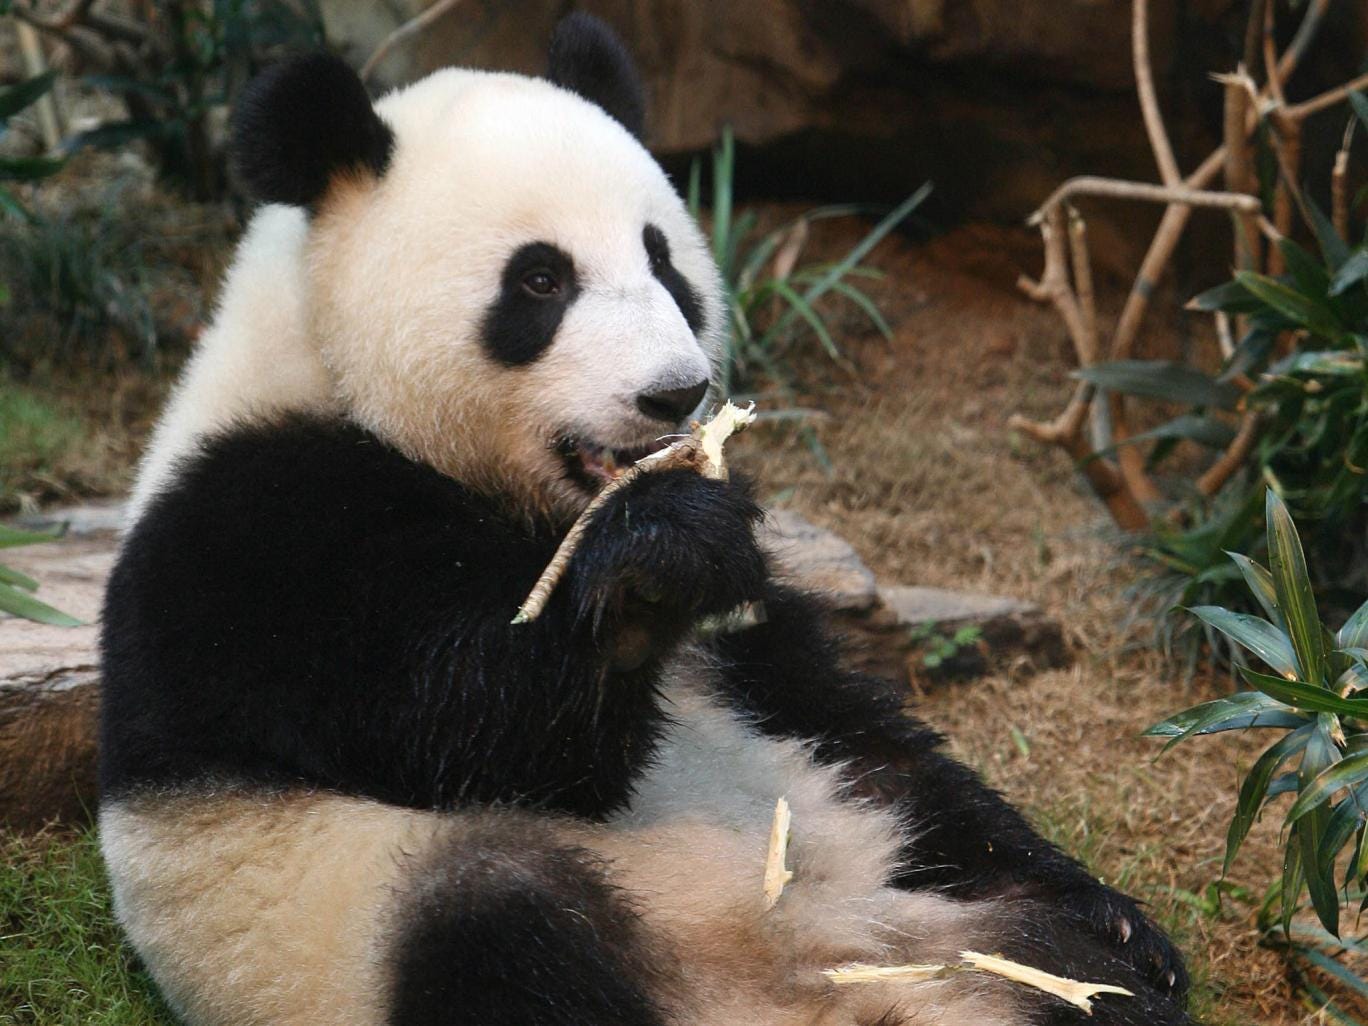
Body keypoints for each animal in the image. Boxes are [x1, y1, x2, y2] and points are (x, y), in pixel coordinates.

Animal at [99, 14, 1191, 1026]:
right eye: (540, 280)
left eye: (664, 261)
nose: (676, 393)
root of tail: (808, 993)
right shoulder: (259, 536)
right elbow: (490, 732)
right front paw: (657, 562)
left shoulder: (766, 648)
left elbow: (854, 725)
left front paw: (1117, 915)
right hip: (362, 913)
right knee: (499, 918)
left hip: (928, 925)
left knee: (1045, 951)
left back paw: (1099, 960)